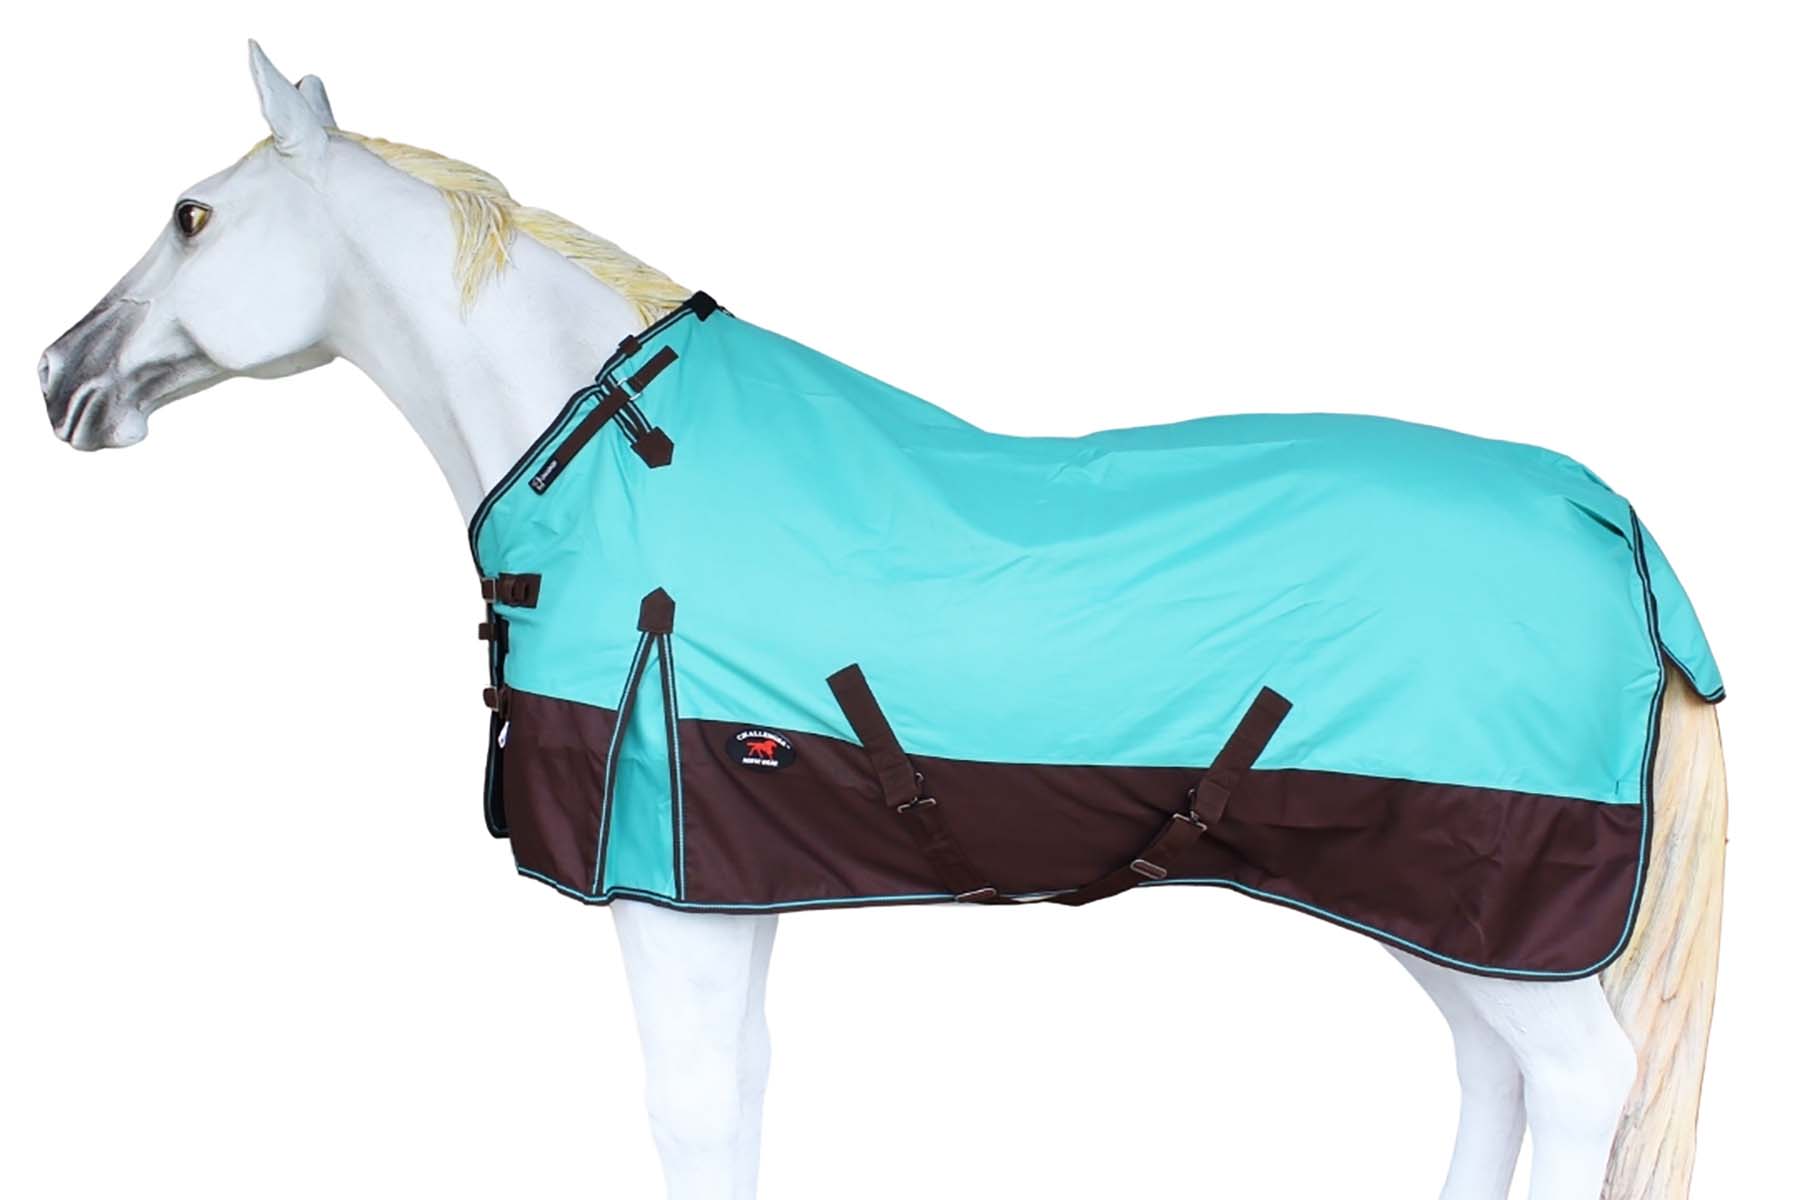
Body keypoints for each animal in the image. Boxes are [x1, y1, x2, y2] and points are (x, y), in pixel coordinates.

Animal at [37, 42, 1727, 1200]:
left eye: (192, 215)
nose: (61, 376)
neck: (624, 470)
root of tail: (1610, 516)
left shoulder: (670, 906)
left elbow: (692, 1118)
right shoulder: (732, 896)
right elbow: (740, 1106)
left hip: (1489, 906)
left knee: (1582, 1086)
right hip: (1442, 908)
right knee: (1497, 1079)